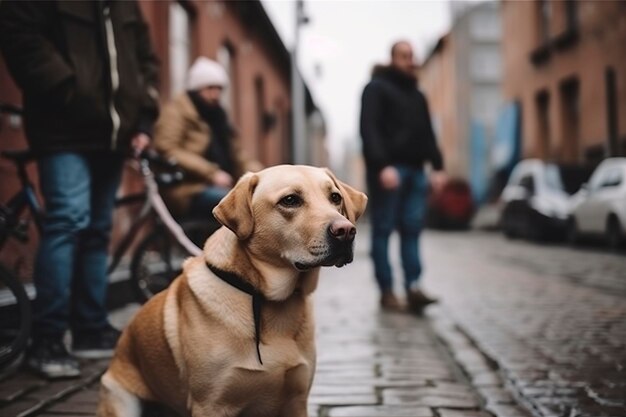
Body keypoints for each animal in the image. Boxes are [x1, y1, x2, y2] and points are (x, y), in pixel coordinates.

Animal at [97, 164, 366, 416]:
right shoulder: (210, 405)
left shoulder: (296, 401)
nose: (346, 231)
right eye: (290, 200)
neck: (264, 297)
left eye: (335, 197)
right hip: (122, 400)